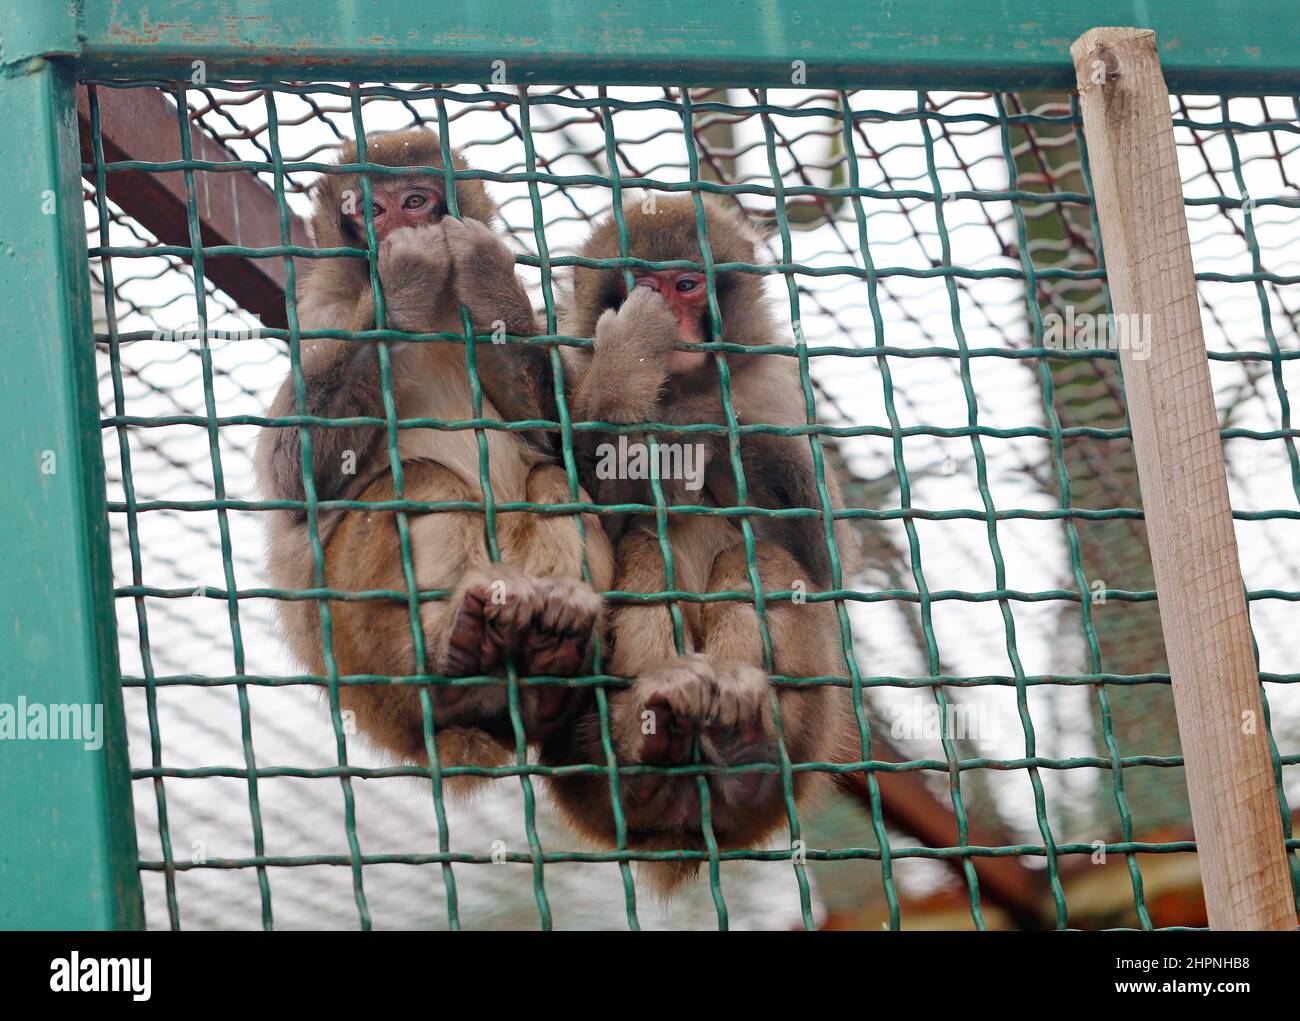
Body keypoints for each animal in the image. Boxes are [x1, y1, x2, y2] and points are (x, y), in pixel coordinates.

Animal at [260, 131, 618, 775]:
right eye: (372, 210)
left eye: (416, 200)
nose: (397, 228)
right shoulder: (321, 319)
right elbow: (295, 480)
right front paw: (406, 277)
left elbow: (572, 447)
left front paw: (486, 274)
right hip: (357, 647)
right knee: (423, 481)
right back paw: (454, 664)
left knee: (552, 483)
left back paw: (548, 645)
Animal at [540, 193, 863, 894]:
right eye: (647, 284)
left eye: (687, 284)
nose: (675, 322)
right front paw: (631, 361)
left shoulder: (777, 388)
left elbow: (824, 557)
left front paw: (707, 427)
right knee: (642, 547)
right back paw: (651, 741)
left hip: (812, 727)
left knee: (763, 561)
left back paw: (741, 743)